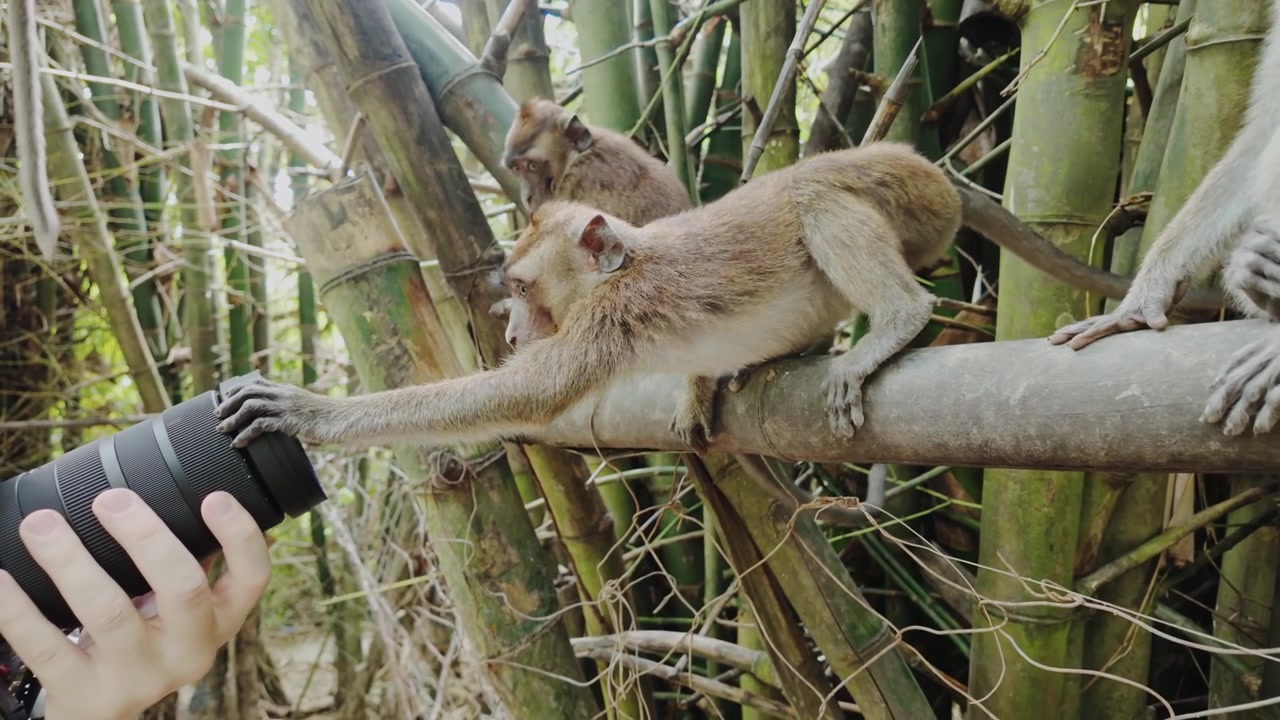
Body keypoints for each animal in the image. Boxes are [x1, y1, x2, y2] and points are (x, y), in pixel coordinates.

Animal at [214, 142, 964, 451]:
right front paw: (696, 390)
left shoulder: (612, 312)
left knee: (814, 193)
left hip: (898, 193)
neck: (623, 265)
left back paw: (897, 319)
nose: (512, 332)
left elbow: (526, 395)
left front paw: (310, 412)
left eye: (522, 287)